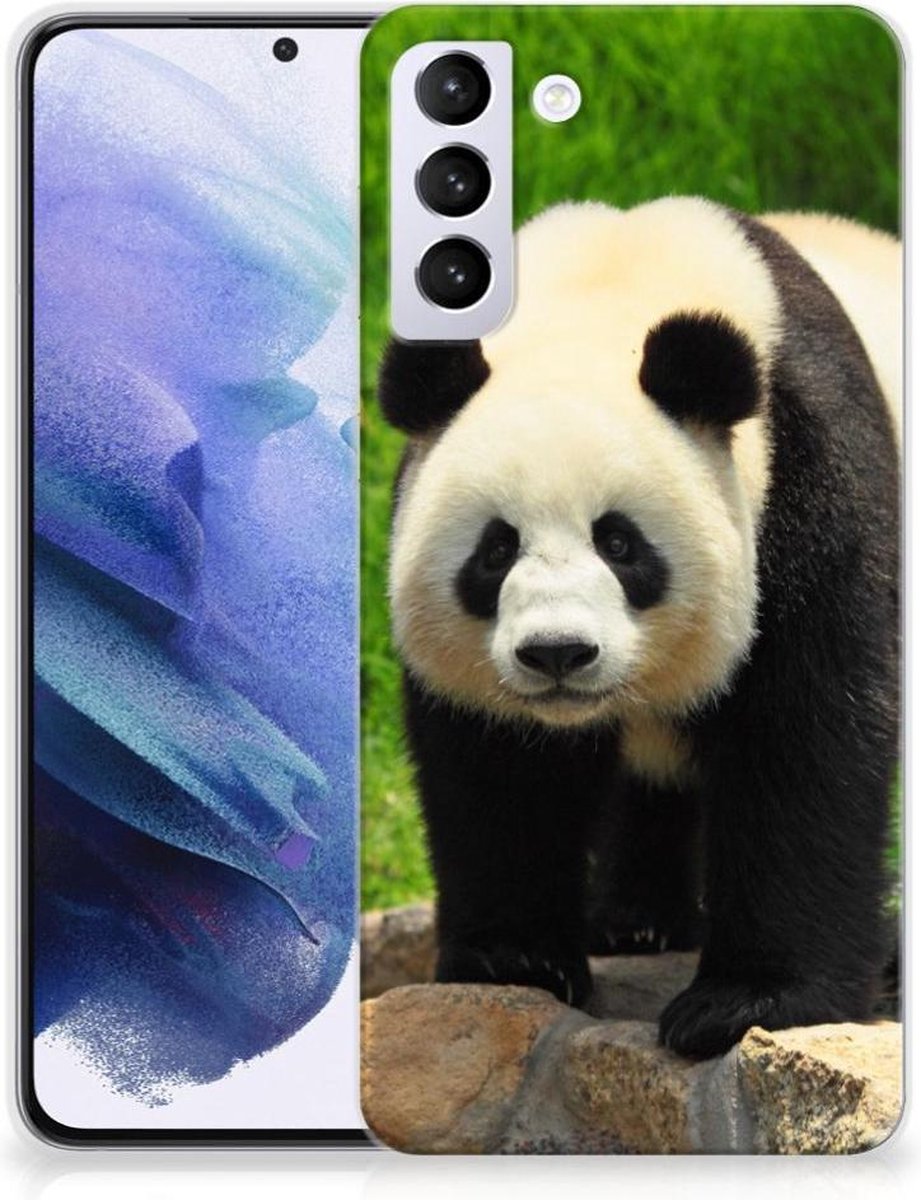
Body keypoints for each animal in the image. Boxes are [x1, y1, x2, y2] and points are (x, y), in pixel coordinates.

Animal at [377, 196, 901, 1060]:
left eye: (619, 544)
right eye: (495, 550)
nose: (557, 653)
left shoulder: (810, 476)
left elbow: (806, 736)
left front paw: (746, 1002)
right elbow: (498, 766)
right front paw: (513, 959)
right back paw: (636, 921)